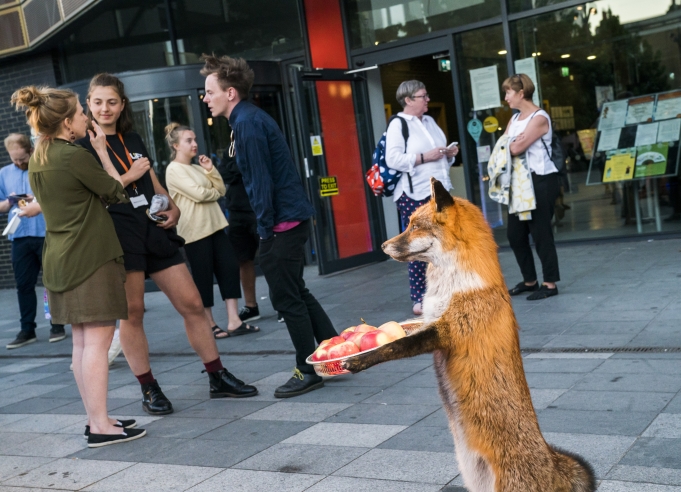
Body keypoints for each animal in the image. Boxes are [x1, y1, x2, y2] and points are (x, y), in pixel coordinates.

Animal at [342, 178, 592, 492]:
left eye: (415, 226)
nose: (383, 246)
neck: (452, 285)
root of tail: (550, 460)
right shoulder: (429, 320)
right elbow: (401, 330)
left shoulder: (449, 330)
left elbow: (394, 347)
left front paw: (358, 360)